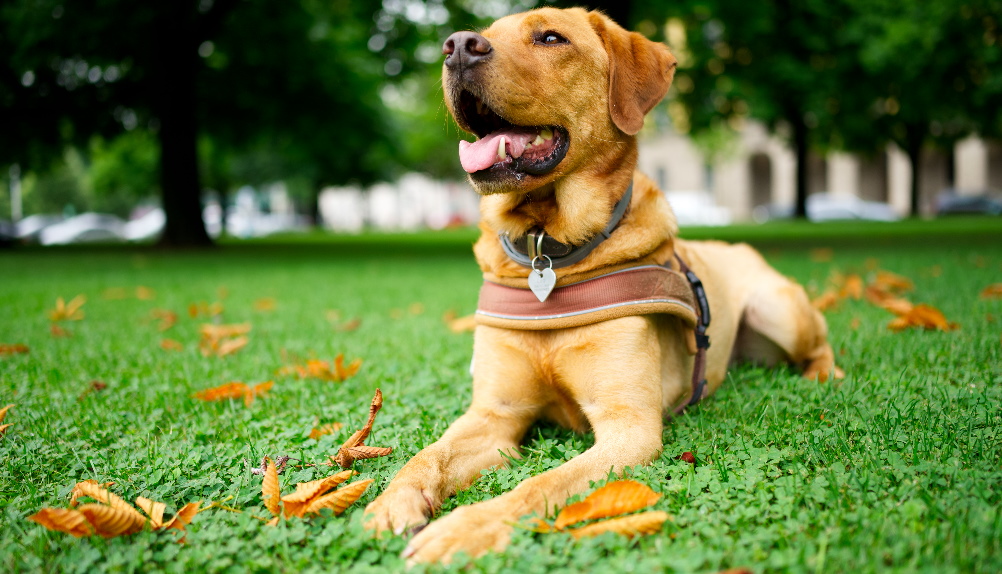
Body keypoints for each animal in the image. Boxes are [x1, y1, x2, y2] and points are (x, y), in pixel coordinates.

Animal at [364, 7, 841, 564]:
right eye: (480, 33)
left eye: (551, 38)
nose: (458, 46)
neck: (548, 248)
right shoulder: (493, 415)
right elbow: (428, 454)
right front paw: (394, 501)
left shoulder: (628, 429)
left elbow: (538, 485)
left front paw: (465, 529)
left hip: (778, 309)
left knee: (821, 342)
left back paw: (824, 375)